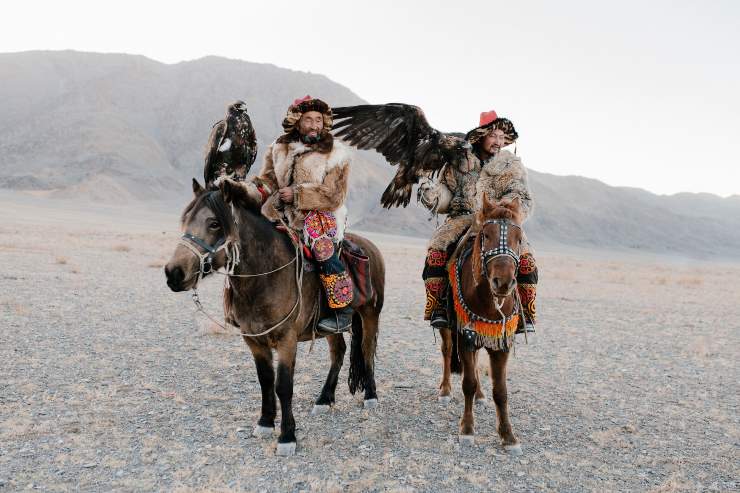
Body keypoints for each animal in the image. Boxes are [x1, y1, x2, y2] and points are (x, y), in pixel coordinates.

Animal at [164, 178, 385, 456]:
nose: (173, 273)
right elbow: (265, 380)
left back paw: (371, 397)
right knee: (339, 352)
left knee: (366, 351)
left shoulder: (286, 339)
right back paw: (324, 399)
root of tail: (371, 247)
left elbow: (283, 385)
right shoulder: (253, 339)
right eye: (185, 220)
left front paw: (287, 437)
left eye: (214, 223)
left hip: (370, 315)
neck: (266, 274)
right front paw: (265, 423)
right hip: (329, 327)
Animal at [438, 195, 526, 454]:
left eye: (519, 238)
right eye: (486, 235)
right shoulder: (465, 337)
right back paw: (445, 390)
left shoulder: (501, 342)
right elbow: (467, 382)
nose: (503, 282)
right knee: (447, 352)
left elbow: (501, 391)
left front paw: (508, 436)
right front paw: (467, 430)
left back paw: (480, 395)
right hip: (448, 328)